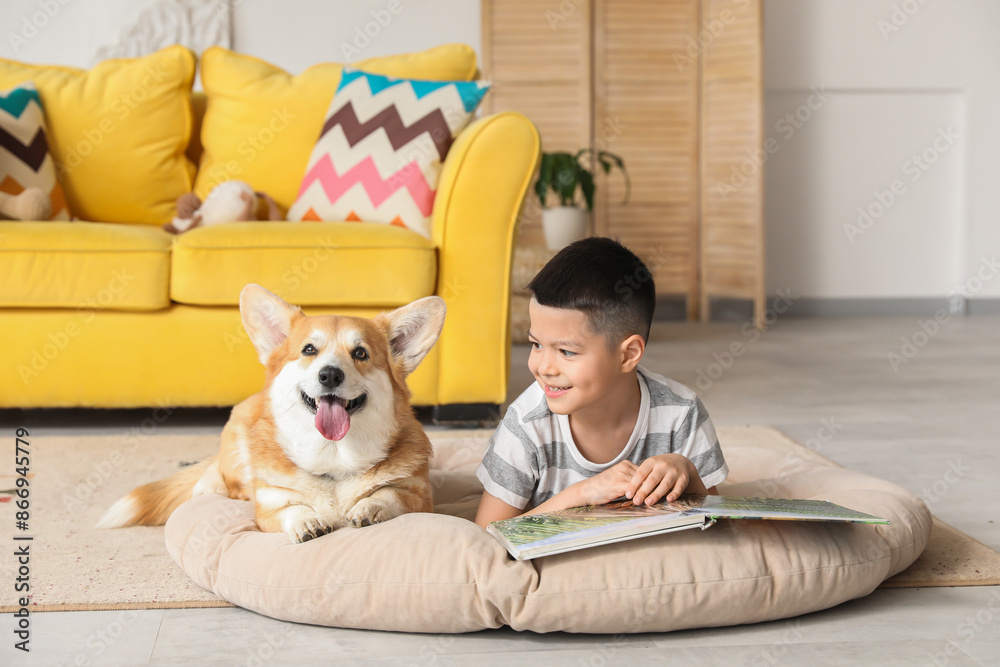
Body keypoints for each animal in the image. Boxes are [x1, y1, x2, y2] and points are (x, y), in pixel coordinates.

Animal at [98, 286, 446, 544]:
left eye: (360, 353)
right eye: (309, 350)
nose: (330, 375)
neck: (333, 458)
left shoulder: (419, 496)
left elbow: (388, 494)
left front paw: (369, 507)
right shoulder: (269, 509)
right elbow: (290, 509)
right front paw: (307, 521)